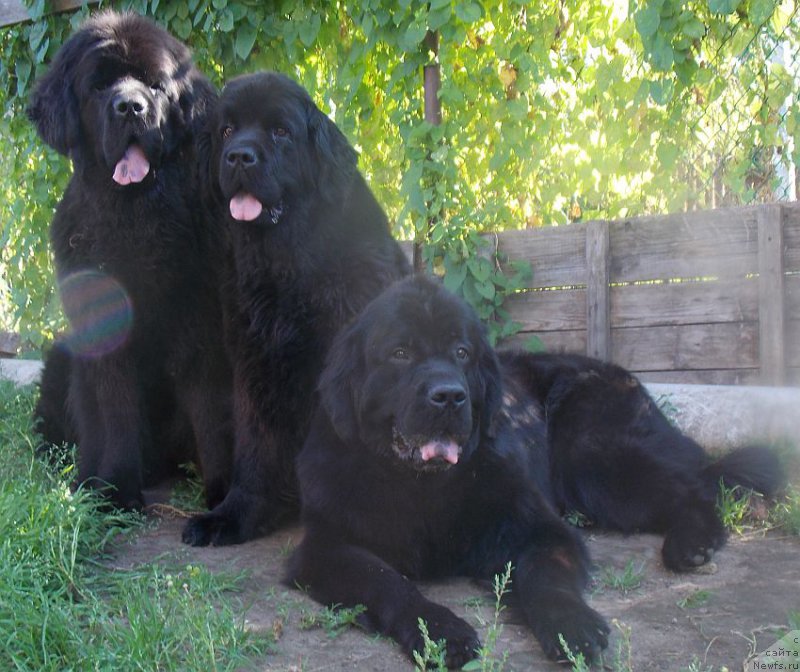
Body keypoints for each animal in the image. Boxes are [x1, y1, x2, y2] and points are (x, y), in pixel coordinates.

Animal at [28, 13, 231, 510]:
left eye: (155, 85)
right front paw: (115, 490)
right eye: (100, 87)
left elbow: (211, 409)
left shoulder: (202, 325)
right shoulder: (103, 331)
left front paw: (222, 491)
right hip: (62, 355)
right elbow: (115, 410)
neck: (134, 215)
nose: (131, 108)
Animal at [183, 72, 412, 544]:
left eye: (280, 132)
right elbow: (254, 448)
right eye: (226, 131)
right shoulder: (254, 364)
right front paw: (235, 515)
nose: (238, 157)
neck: (285, 264)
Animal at [288, 274, 780, 668]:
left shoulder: (535, 526)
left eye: (462, 352)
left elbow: (545, 574)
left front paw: (571, 624)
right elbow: (388, 583)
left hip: (595, 458)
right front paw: (442, 633)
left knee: (694, 488)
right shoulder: (325, 548)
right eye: (400, 352)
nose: (449, 396)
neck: (423, 488)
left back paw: (692, 542)